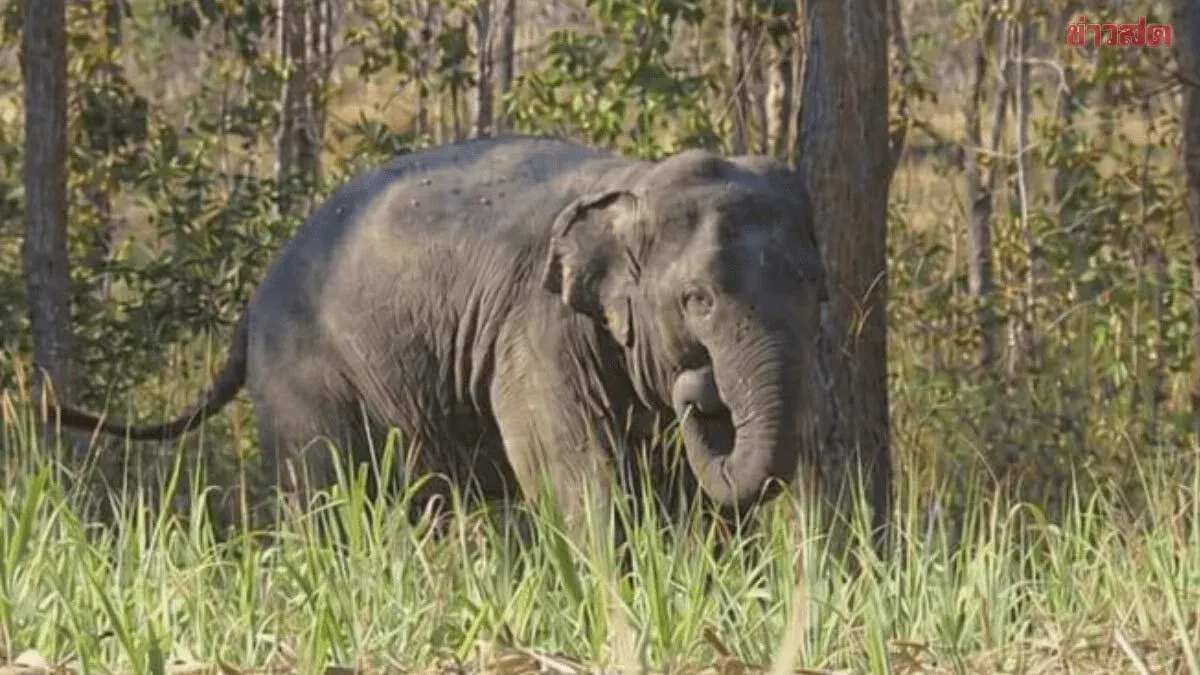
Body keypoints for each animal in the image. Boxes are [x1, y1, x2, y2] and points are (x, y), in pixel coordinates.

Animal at [50, 135, 827, 540]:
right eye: (698, 300)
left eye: (817, 289)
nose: (699, 387)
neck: (630, 181)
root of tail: (251, 306)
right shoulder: (534, 330)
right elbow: (572, 467)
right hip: (303, 377)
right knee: (326, 491)